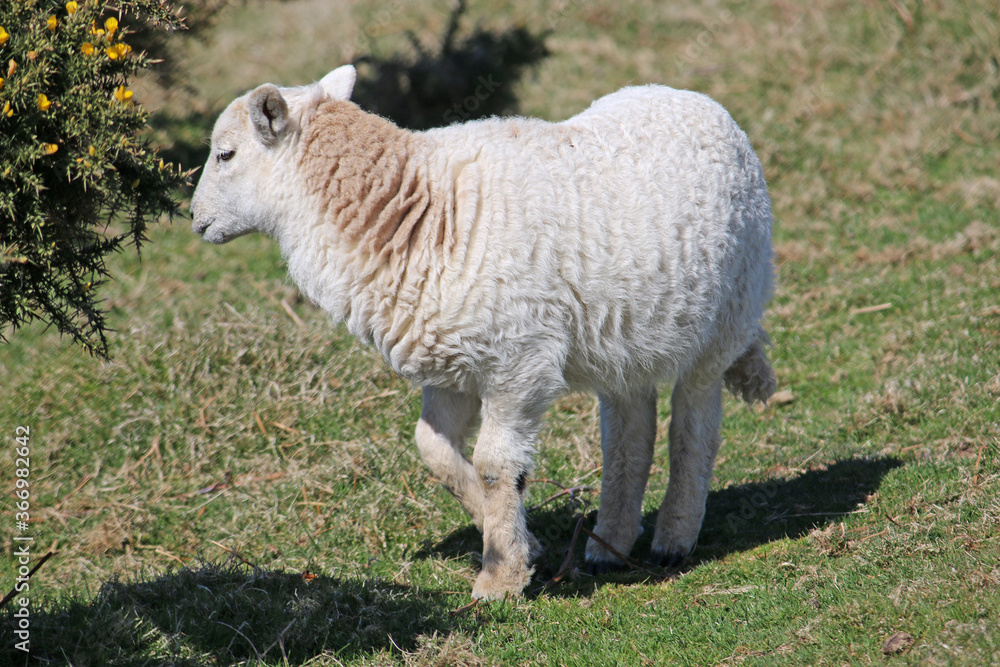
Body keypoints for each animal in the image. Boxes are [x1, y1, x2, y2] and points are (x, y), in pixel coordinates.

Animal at [190, 65, 777, 599]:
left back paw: (673, 539)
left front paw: (501, 577)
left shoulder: (519, 363)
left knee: (694, 428)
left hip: (727, 313)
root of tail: (692, 98)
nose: (195, 221)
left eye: (226, 155)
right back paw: (607, 546)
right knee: (630, 431)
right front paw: (524, 543)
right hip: (627, 335)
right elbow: (435, 451)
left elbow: (495, 466)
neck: (418, 212)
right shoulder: (452, 364)